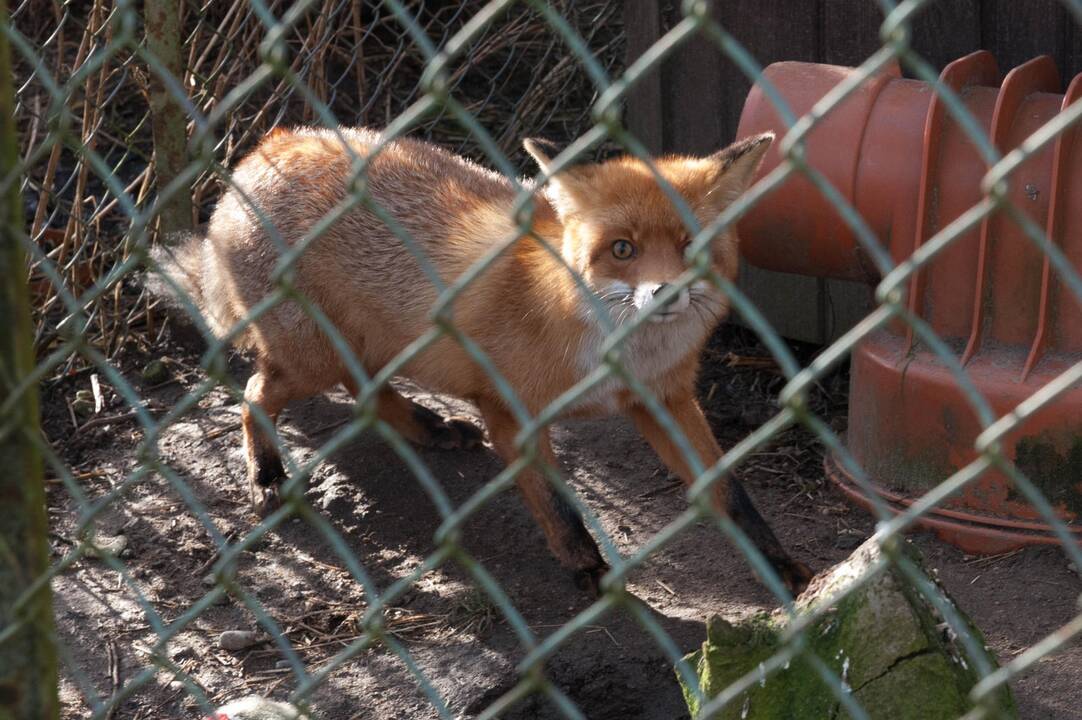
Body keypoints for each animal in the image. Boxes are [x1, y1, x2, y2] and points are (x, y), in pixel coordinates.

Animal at [150, 127, 813, 593]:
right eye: (622, 250)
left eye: (689, 246)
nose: (666, 294)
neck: (614, 352)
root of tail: (266, 145)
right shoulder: (511, 415)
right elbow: (558, 506)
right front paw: (589, 570)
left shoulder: (664, 400)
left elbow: (729, 491)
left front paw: (781, 566)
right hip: (312, 359)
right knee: (254, 393)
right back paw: (266, 474)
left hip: (371, 346)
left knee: (364, 392)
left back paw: (426, 427)